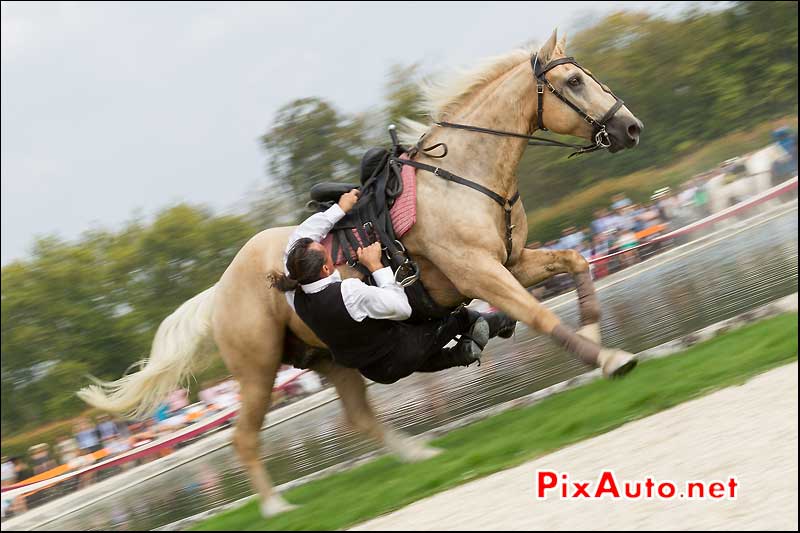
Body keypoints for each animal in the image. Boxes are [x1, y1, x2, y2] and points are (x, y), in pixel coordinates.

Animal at [79, 29, 644, 516]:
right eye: (573, 82)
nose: (631, 127)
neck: (463, 177)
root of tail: (220, 290)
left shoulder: (512, 262)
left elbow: (577, 265)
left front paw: (595, 333)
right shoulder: (480, 273)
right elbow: (540, 317)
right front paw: (609, 358)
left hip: (331, 359)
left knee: (357, 416)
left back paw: (418, 454)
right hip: (258, 371)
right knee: (245, 437)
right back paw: (276, 506)